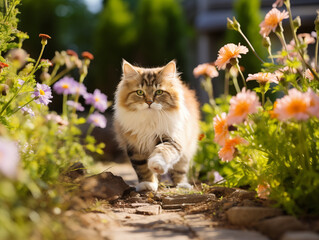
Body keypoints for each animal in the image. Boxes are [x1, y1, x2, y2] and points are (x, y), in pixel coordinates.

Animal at [114, 60, 200, 191]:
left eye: (159, 92)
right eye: (140, 92)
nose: (149, 102)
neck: (150, 119)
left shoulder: (171, 139)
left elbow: (162, 152)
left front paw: (156, 165)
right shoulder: (135, 147)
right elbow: (143, 168)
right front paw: (147, 184)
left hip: (186, 150)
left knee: (180, 171)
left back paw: (182, 185)